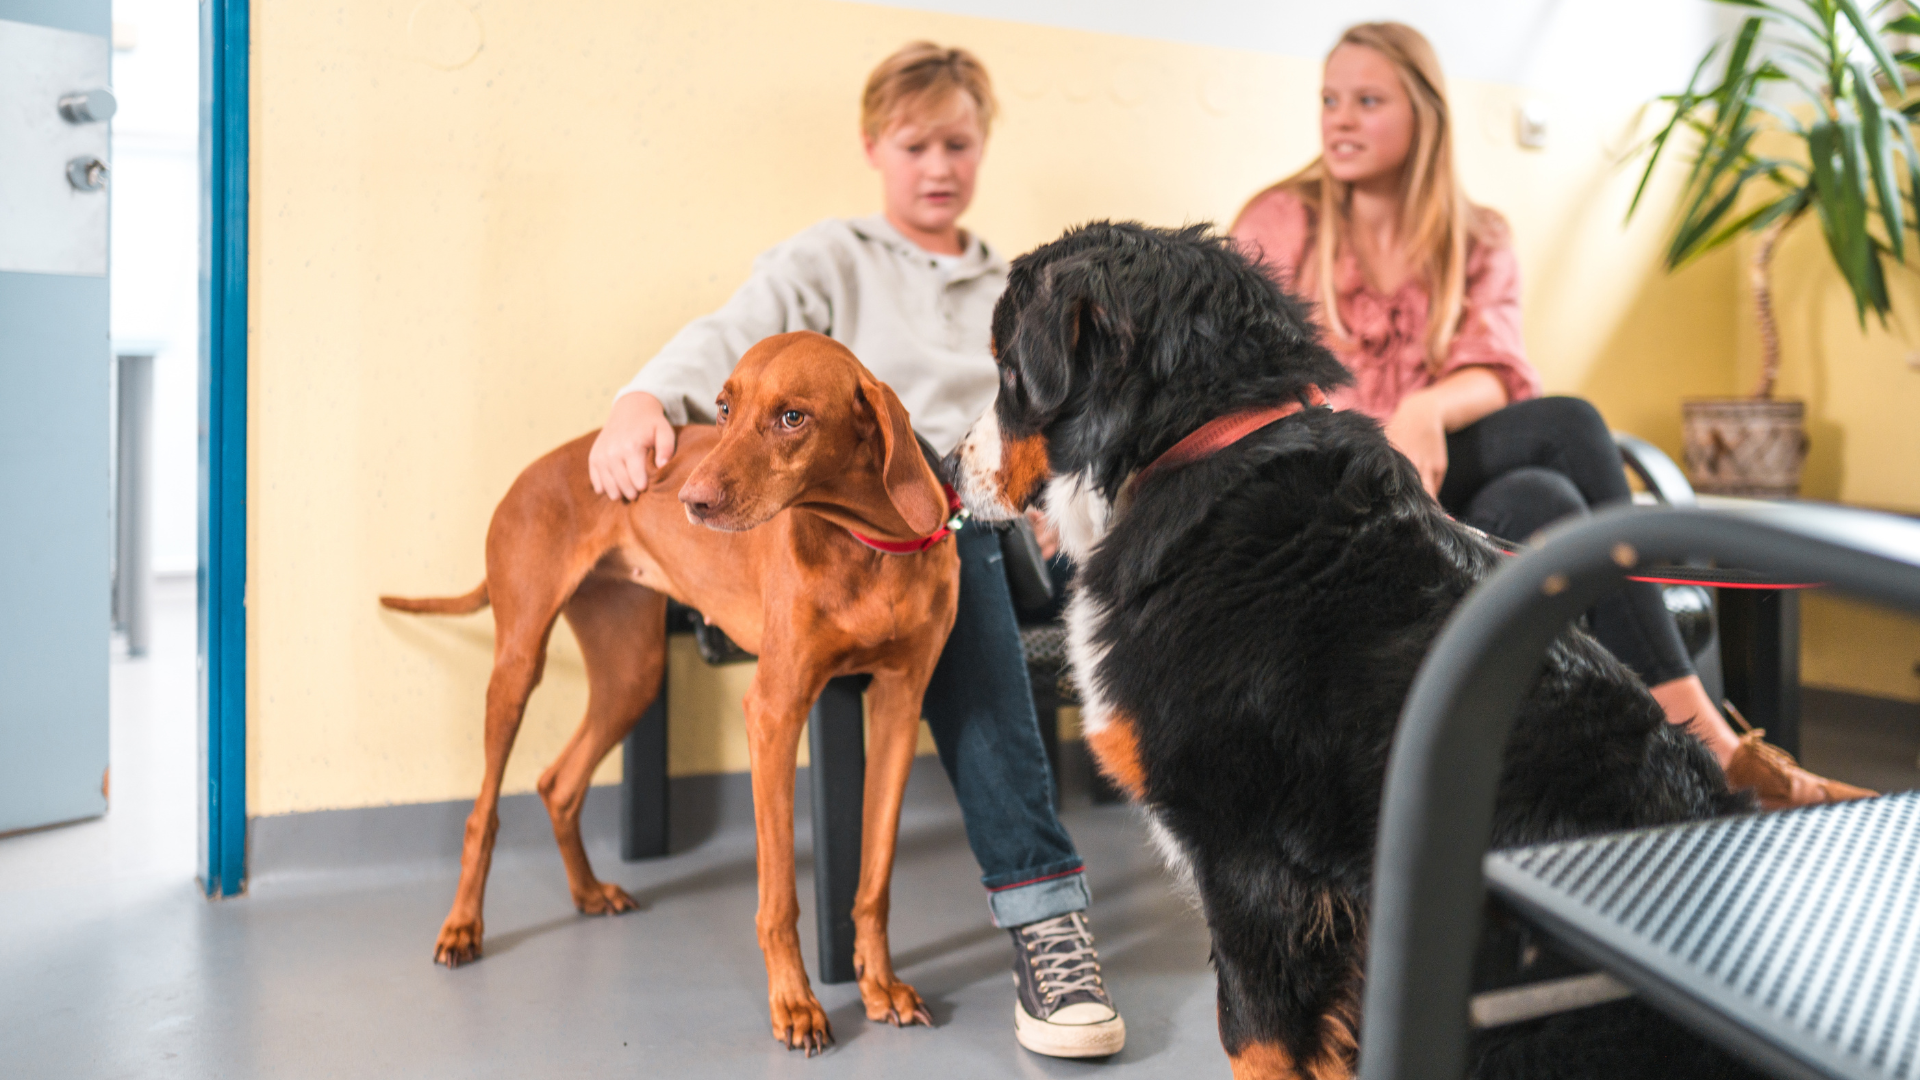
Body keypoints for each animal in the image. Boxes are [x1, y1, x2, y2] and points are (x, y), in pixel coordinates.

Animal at [380, 330, 960, 1053]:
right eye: (722, 407)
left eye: (792, 417)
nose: (689, 499)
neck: (873, 546)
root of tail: (536, 468)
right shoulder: (773, 711)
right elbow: (778, 897)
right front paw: (796, 1005)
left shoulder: (899, 706)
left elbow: (874, 877)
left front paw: (880, 986)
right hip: (518, 664)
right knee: (481, 813)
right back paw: (462, 928)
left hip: (633, 672)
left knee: (558, 783)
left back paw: (588, 893)